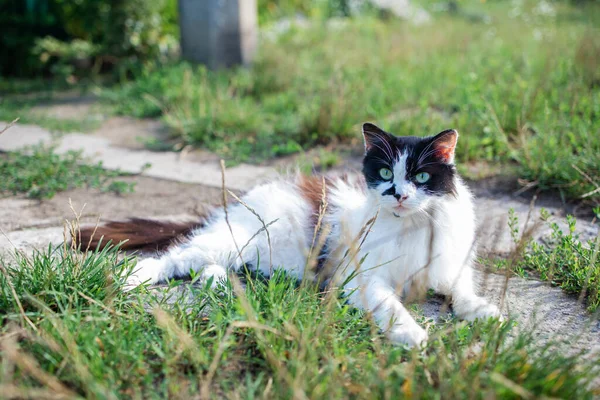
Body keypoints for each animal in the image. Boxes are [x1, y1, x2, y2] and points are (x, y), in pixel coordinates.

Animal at [79, 122, 502, 346]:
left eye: (422, 177)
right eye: (384, 174)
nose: (399, 194)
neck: (410, 226)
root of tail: (240, 201)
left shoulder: (449, 264)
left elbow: (462, 288)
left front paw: (483, 311)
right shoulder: (361, 279)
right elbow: (391, 306)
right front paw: (411, 333)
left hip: (252, 254)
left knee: (209, 266)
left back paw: (223, 285)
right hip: (236, 240)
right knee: (175, 256)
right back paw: (130, 277)